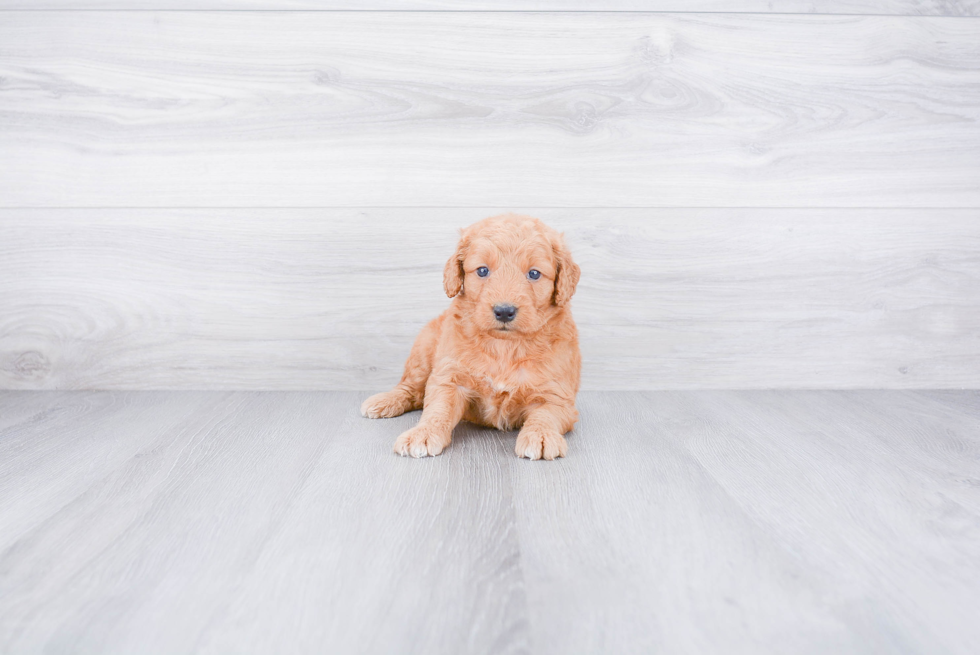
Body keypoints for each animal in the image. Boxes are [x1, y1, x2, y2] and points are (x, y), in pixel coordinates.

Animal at [360, 215, 580, 462]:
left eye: (534, 274)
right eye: (482, 270)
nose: (504, 311)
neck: (504, 347)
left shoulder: (557, 396)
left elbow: (545, 415)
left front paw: (540, 436)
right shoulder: (450, 377)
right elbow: (438, 409)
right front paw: (423, 433)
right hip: (424, 348)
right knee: (412, 388)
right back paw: (384, 401)